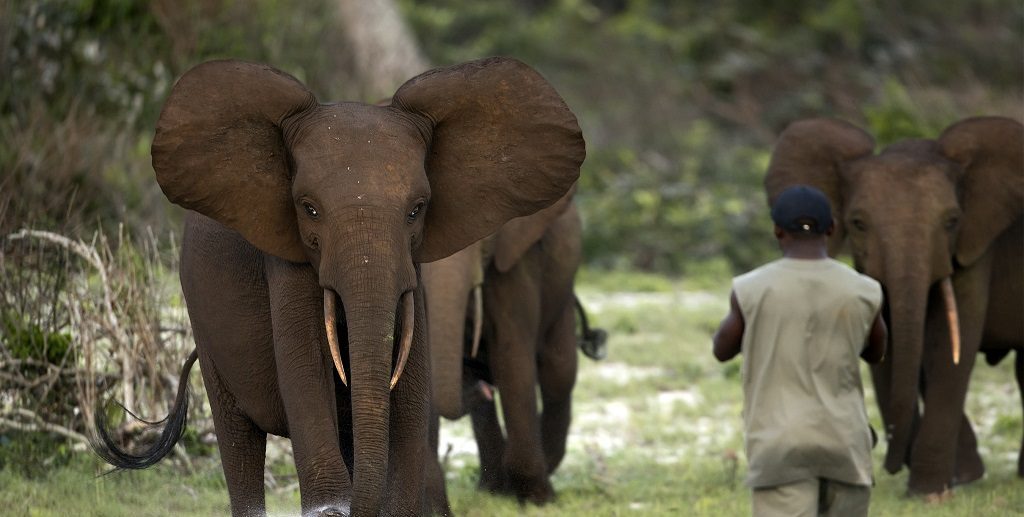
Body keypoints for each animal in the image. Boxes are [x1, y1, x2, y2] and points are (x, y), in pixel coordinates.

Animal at [421, 190, 602, 503]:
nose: (482, 388)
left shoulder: (517, 262)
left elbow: (513, 354)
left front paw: (536, 499)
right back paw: (492, 488)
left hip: (562, 294)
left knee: (559, 374)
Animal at [765, 116, 1019, 495]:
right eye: (857, 223)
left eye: (952, 221)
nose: (888, 463)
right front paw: (955, 480)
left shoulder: (975, 246)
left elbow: (950, 348)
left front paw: (929, 493)